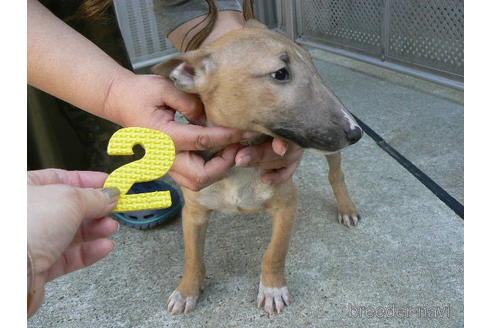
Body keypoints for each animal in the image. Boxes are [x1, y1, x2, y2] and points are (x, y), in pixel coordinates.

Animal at [152, 18, 364, 316]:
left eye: (311, 67)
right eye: (280, 73)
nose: (356, 132)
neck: (240, 154)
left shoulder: (287, 204)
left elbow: (274, 252)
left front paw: (272, 289)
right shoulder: (193, 211)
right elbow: (192, 256)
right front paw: (186, 291)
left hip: (330, 150)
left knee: (336, 174)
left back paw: (346, 208)